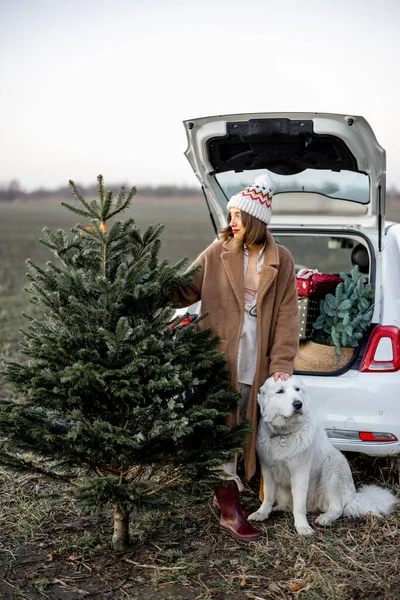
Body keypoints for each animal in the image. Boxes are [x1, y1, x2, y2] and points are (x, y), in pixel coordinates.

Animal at [248, 378, 396, 536]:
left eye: (297, 389)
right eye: (280, 391)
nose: (298, 404)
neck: (284, 434)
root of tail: (352, 496)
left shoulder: (300, 472)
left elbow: (299, 504)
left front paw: (302, 527)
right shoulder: (267, 468)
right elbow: (268, 495)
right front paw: (262, 513)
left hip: (332, 468)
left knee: (337, 507)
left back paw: (325, 518)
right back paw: (281, 508)